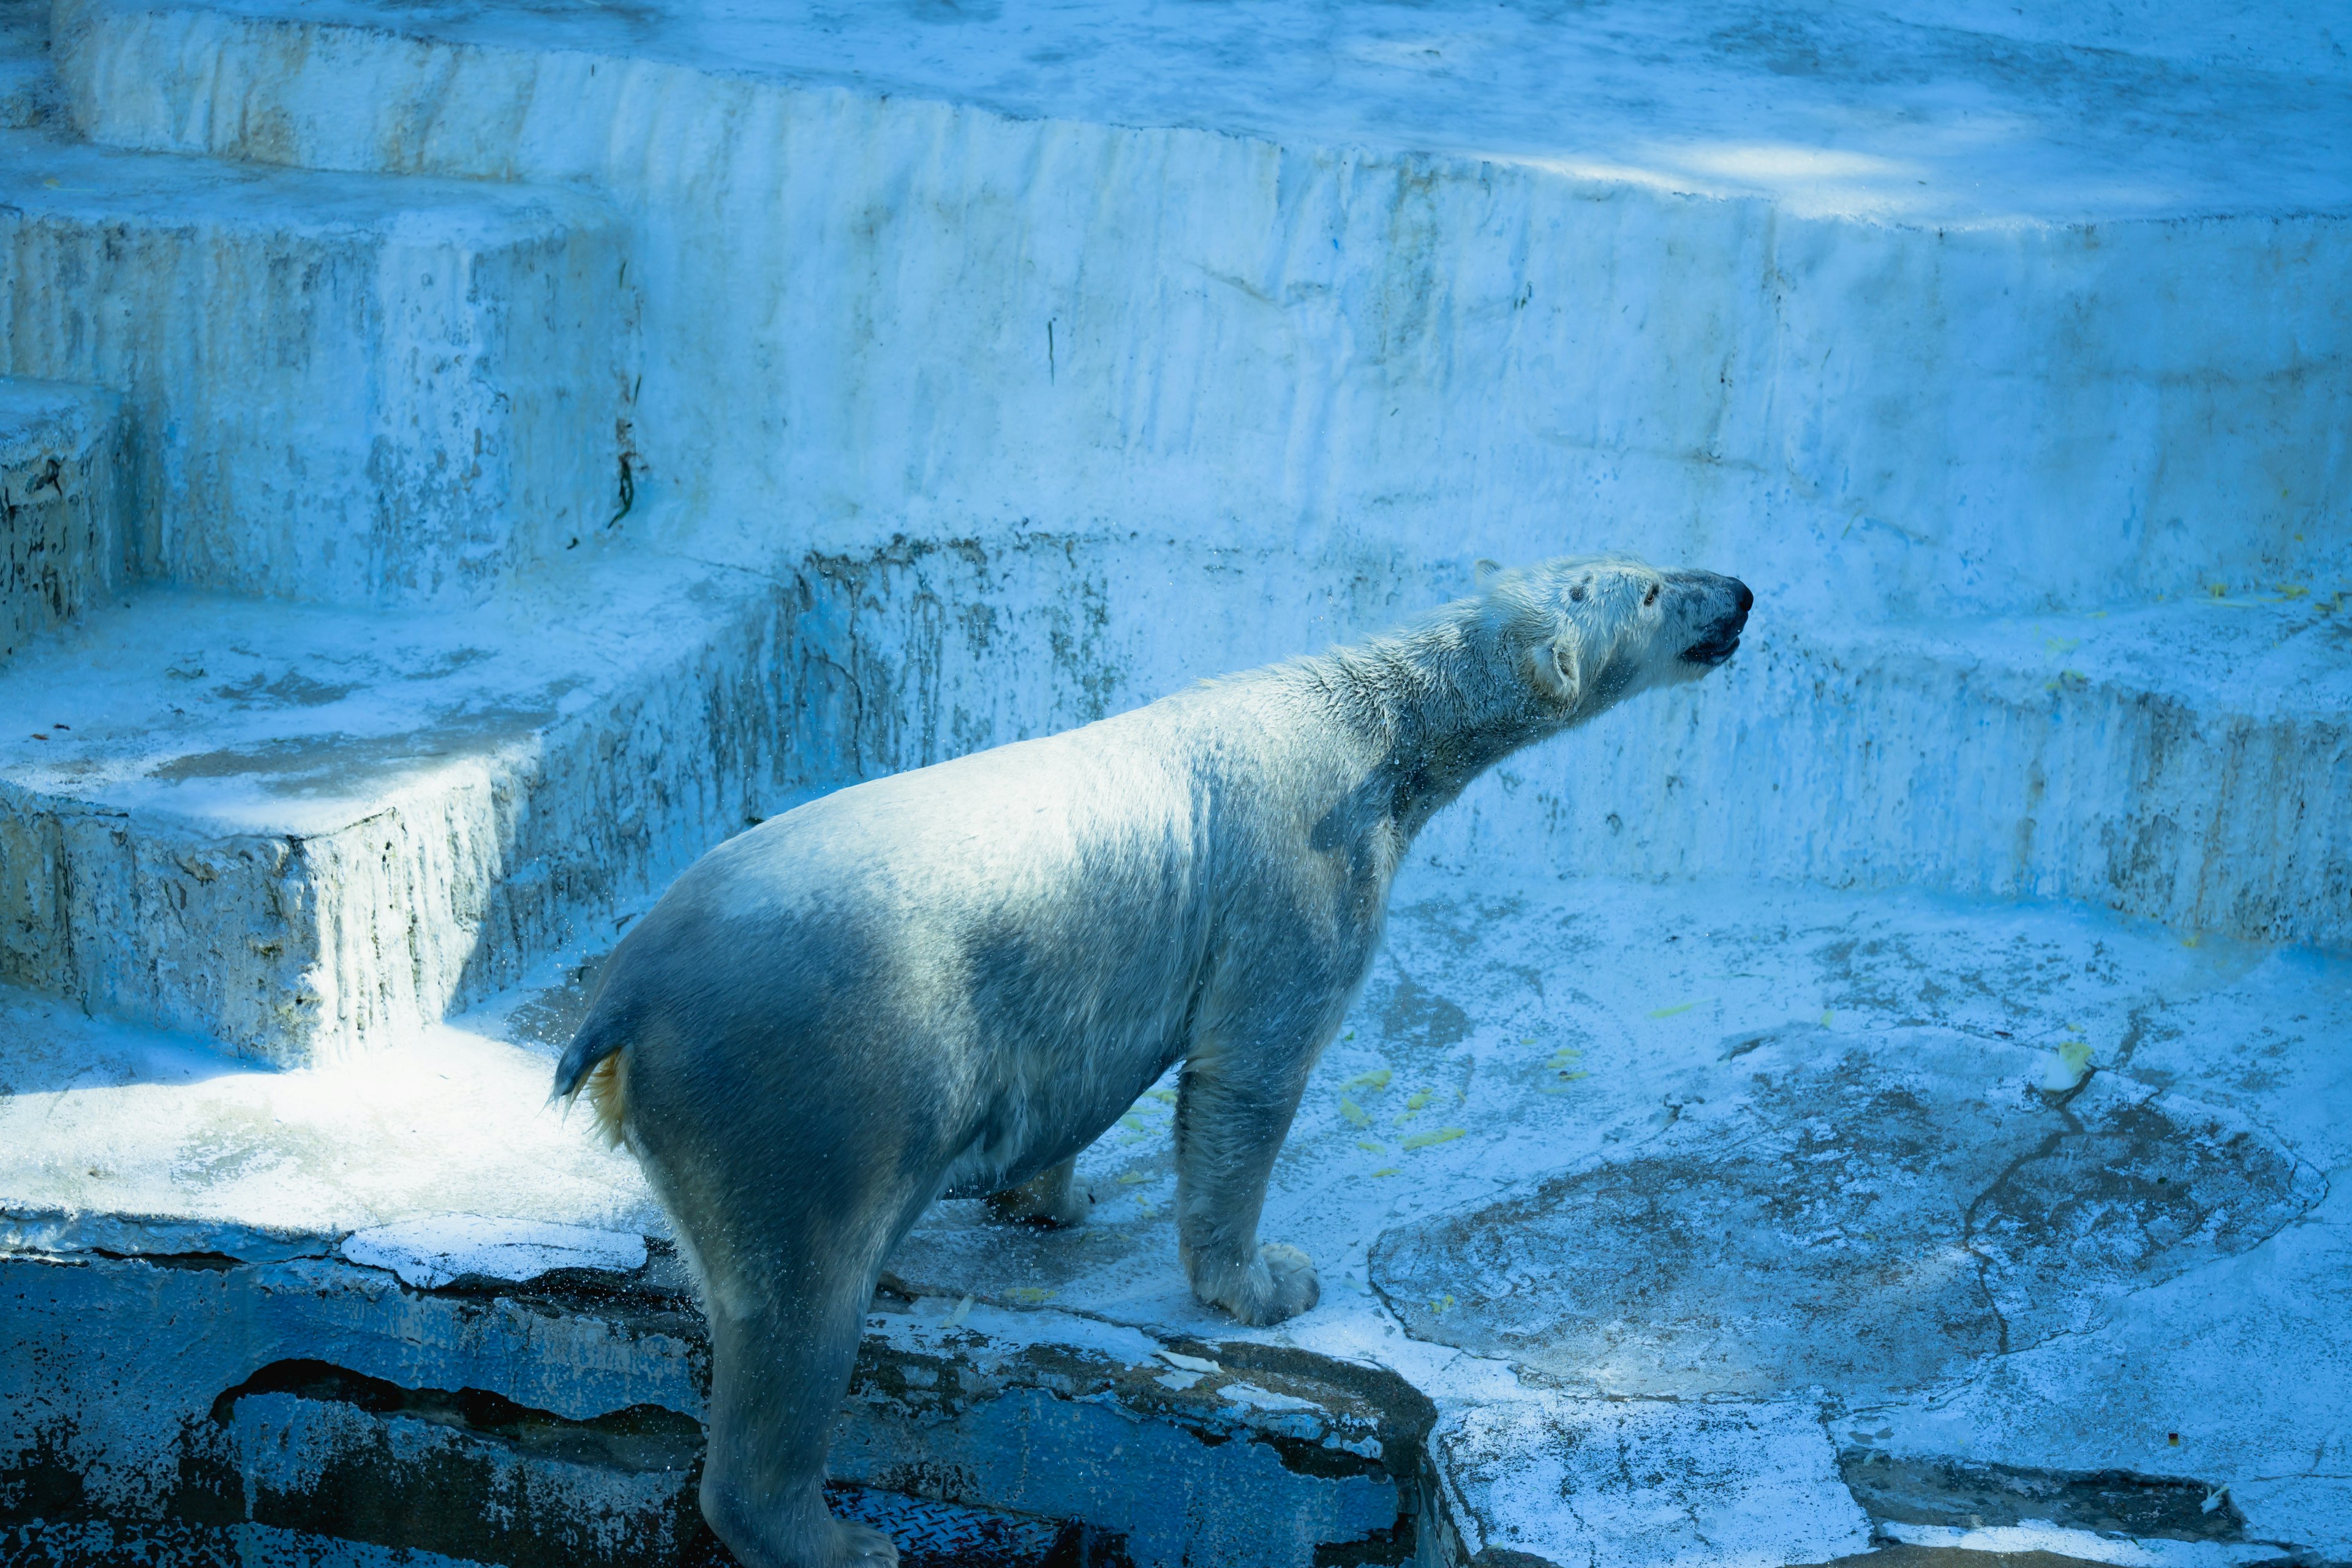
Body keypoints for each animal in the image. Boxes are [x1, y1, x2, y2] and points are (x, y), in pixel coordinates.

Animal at [555, 554, 1749, 1568]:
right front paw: (1268, 1283)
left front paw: (1050, 1201)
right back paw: (843, 1539)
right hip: (811, 1080)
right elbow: (1252, 1071)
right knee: (800, 1305)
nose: (1738, 593)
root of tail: (626, 1000)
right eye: (1652, 590)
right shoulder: (1301, 877)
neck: (1369, 727)